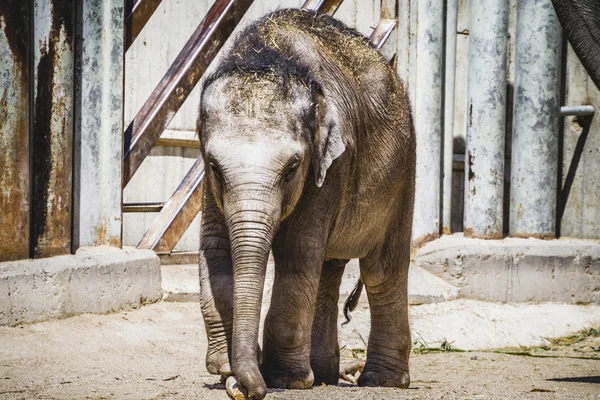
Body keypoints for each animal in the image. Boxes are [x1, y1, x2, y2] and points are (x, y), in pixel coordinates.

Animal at [197, 7, 418, 398]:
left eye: (292, 168)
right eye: (214, 166)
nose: (245, 387)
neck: (267, 55)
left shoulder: (331, 163)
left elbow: (297, 251)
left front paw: (285, 380)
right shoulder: (209, 186)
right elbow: (216, 249)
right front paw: (227, 370)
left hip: (403, 170)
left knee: (382, 269)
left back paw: (382, 381)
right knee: (328, 267)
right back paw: (326, 373)